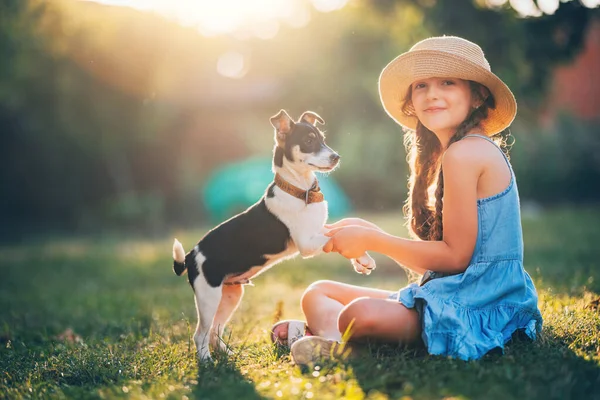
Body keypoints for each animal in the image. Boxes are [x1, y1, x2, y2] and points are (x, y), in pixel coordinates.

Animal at [171, 110, 376, 362]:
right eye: (309, 141)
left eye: (323, 139)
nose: (336, 157)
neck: (301, 191)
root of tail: (191, 255)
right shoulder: (307, 243)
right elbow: (337, 237)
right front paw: (362, 256)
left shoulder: (317, 231)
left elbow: (338, 233)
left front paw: (362, 260)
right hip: (208, 296)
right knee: (200, 334)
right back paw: (207, 362)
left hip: (230, 296)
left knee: (214, 331)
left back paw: (228, 355)